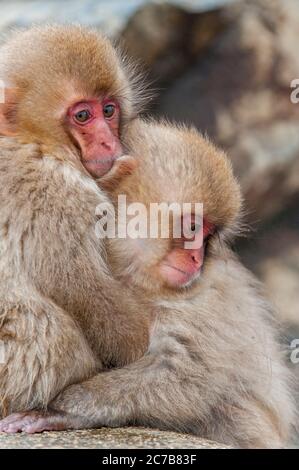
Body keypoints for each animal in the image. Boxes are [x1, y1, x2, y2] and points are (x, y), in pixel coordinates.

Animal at [1, 112, 298, 446]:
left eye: (207, 238)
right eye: (193, 228)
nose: (197, 260)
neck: (131, 276)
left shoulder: (205, 297)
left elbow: (192, 372)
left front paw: (61, 410)